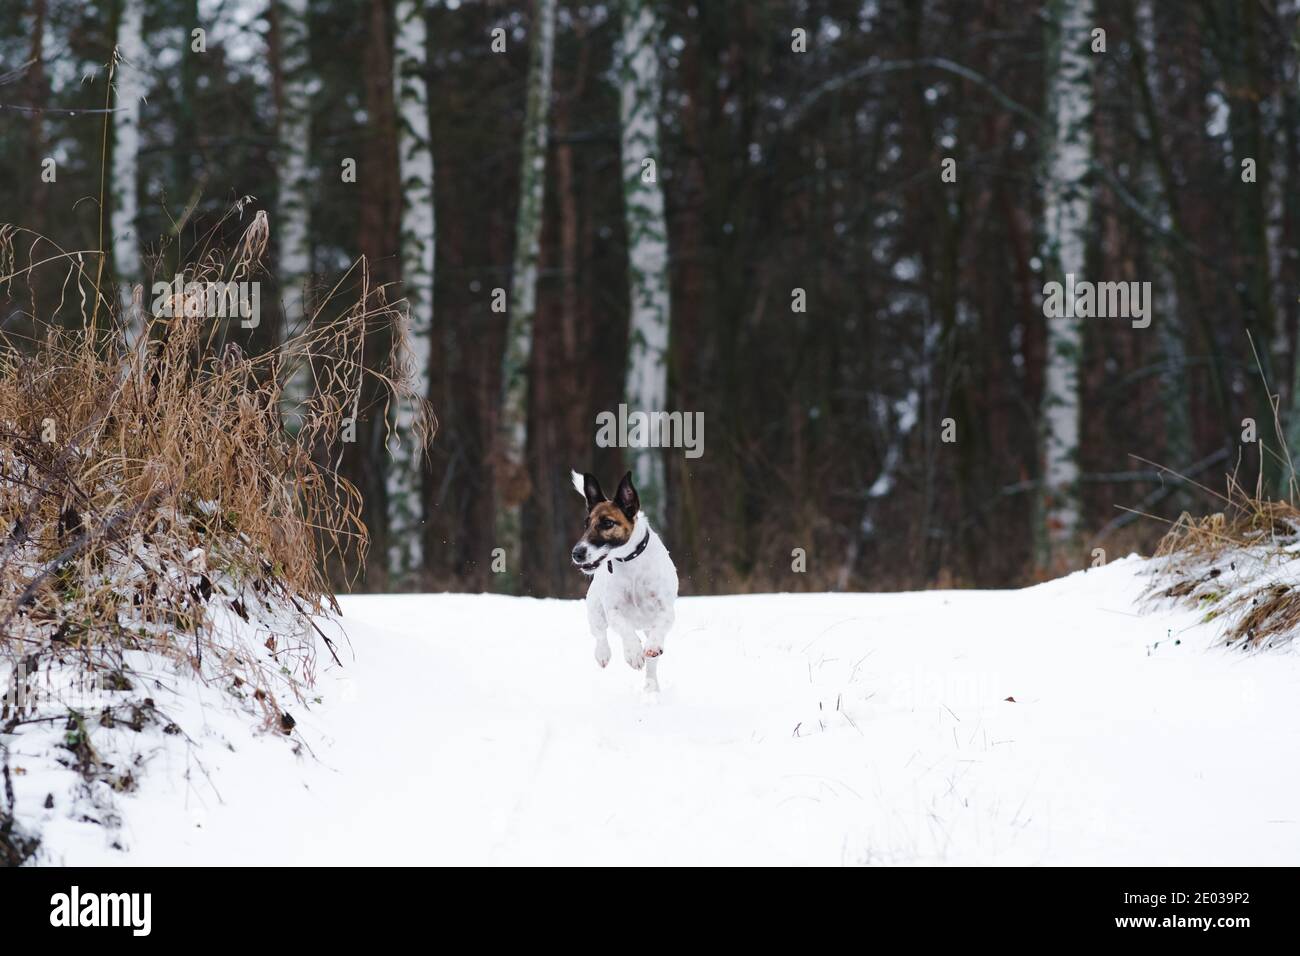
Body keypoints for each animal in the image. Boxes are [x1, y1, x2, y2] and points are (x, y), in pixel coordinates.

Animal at [574, 468, 686, 686]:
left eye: (608, 523)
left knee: (652, 661)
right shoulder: (613, 610)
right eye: (585, 524)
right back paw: (603, 654)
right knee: (600, 634)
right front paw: (633, 653)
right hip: (595, 611)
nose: (576, 553)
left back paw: (651, 684)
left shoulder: (665, 609)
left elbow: (660, 627)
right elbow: (625, 628)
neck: (629, 561)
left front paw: (652, 646)